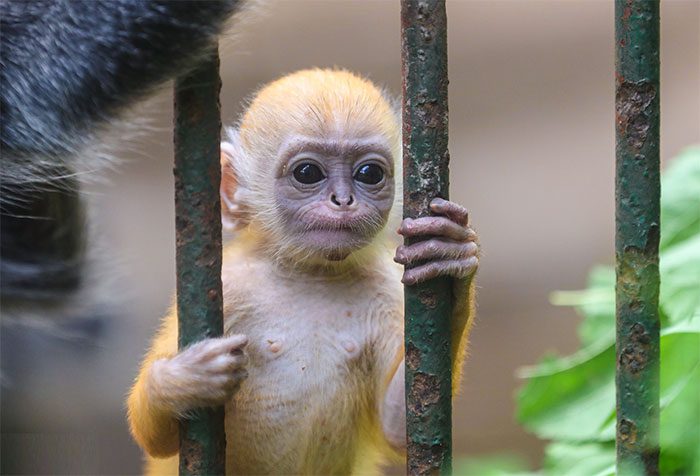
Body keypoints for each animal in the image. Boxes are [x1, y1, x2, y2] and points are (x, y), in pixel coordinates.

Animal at [127, 69, 476, 474]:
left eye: (369, 173)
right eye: (307, 173)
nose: (343, 200)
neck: (311, 274)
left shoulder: (388, 288)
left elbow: (399, 423)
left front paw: (452, 259)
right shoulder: (230, 285)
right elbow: (154, 437)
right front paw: (180, 382)